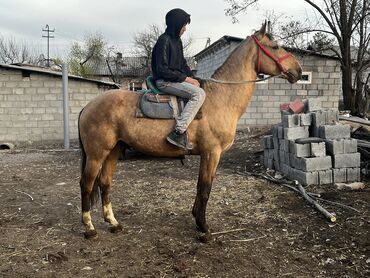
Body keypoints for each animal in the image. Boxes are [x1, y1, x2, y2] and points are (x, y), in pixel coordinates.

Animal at [79, 22, 302, 242]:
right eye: (275, 46)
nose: (298, 71)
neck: (221, 98)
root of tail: (87, 106)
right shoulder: (212, 153)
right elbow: (205, 188)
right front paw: (203, 228)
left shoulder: (208, 155)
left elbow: (200, 186)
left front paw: (197, 219)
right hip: (96, 154)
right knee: (86, 184)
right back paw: (89, 228)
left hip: (114, 151)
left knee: (105, 183)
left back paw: (113, 223)